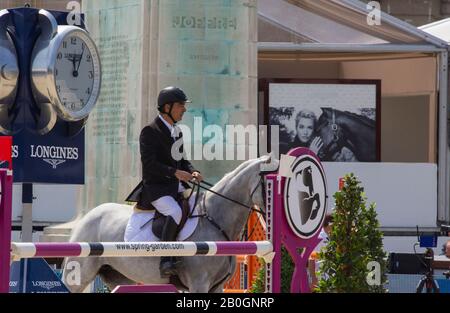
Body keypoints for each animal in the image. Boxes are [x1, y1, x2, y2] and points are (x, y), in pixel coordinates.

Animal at [62, 155, 274, 292]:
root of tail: (87, 216)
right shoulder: (198, 284)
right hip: (78, 276)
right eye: (269, 181)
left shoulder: (217, 287)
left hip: (118, 277)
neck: (215, 220)